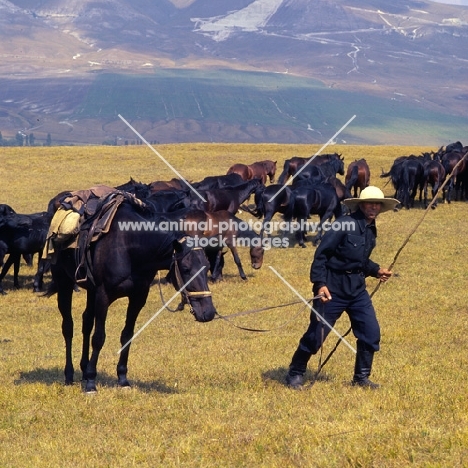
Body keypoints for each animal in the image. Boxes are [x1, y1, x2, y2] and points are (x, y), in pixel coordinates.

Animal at [47, 199, 216, 394]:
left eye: (207, 265)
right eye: (187, 269)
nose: (209, 312)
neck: (130, 248)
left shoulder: (138, 297)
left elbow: (127, 335)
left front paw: (122, 379)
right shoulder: (103, 296)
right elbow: (99, 338)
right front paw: (91, 382)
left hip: (90, 290)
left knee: (86, 321)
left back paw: (83, 369)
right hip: (64, 283)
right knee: (68, 327)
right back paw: (69, 375)